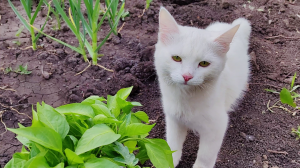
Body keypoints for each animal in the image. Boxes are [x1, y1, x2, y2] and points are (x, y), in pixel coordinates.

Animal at [155, 6, 251, 168]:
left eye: (204, 63)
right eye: (176, 58)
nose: (187, 76)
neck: (186, 98)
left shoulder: (217, 127)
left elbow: (205, 156)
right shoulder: (174, 120)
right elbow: (172, 145)